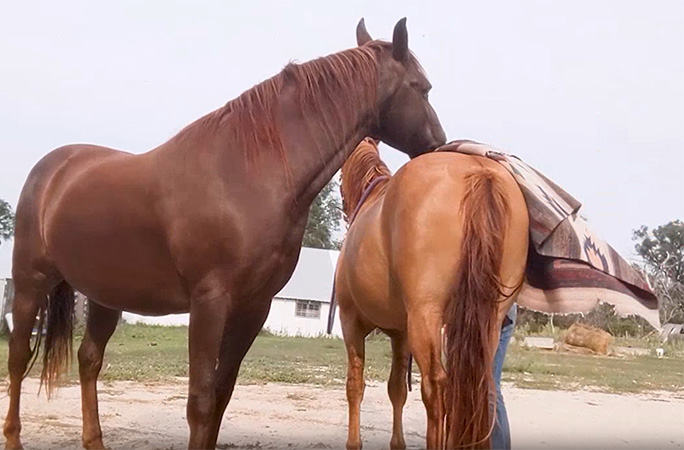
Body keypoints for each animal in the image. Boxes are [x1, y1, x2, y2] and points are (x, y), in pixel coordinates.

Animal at [3, 19, 446, 450]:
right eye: (421, 87)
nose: (438, 145)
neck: (248, 174)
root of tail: (53, 168)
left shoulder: (253, 307)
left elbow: (221, 394)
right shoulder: (210, 302)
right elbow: (199, 401)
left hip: (104, 296)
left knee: (89, 359)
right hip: (29, 283)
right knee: (19, 357)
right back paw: (14, 436)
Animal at [335, 139, 529, 449]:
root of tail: (480, 172)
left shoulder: (351, 321)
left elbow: (355, 386)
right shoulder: (400, 333)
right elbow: (397, 389)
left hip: (425, 316)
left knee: (436, 387)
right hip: (487, 322)